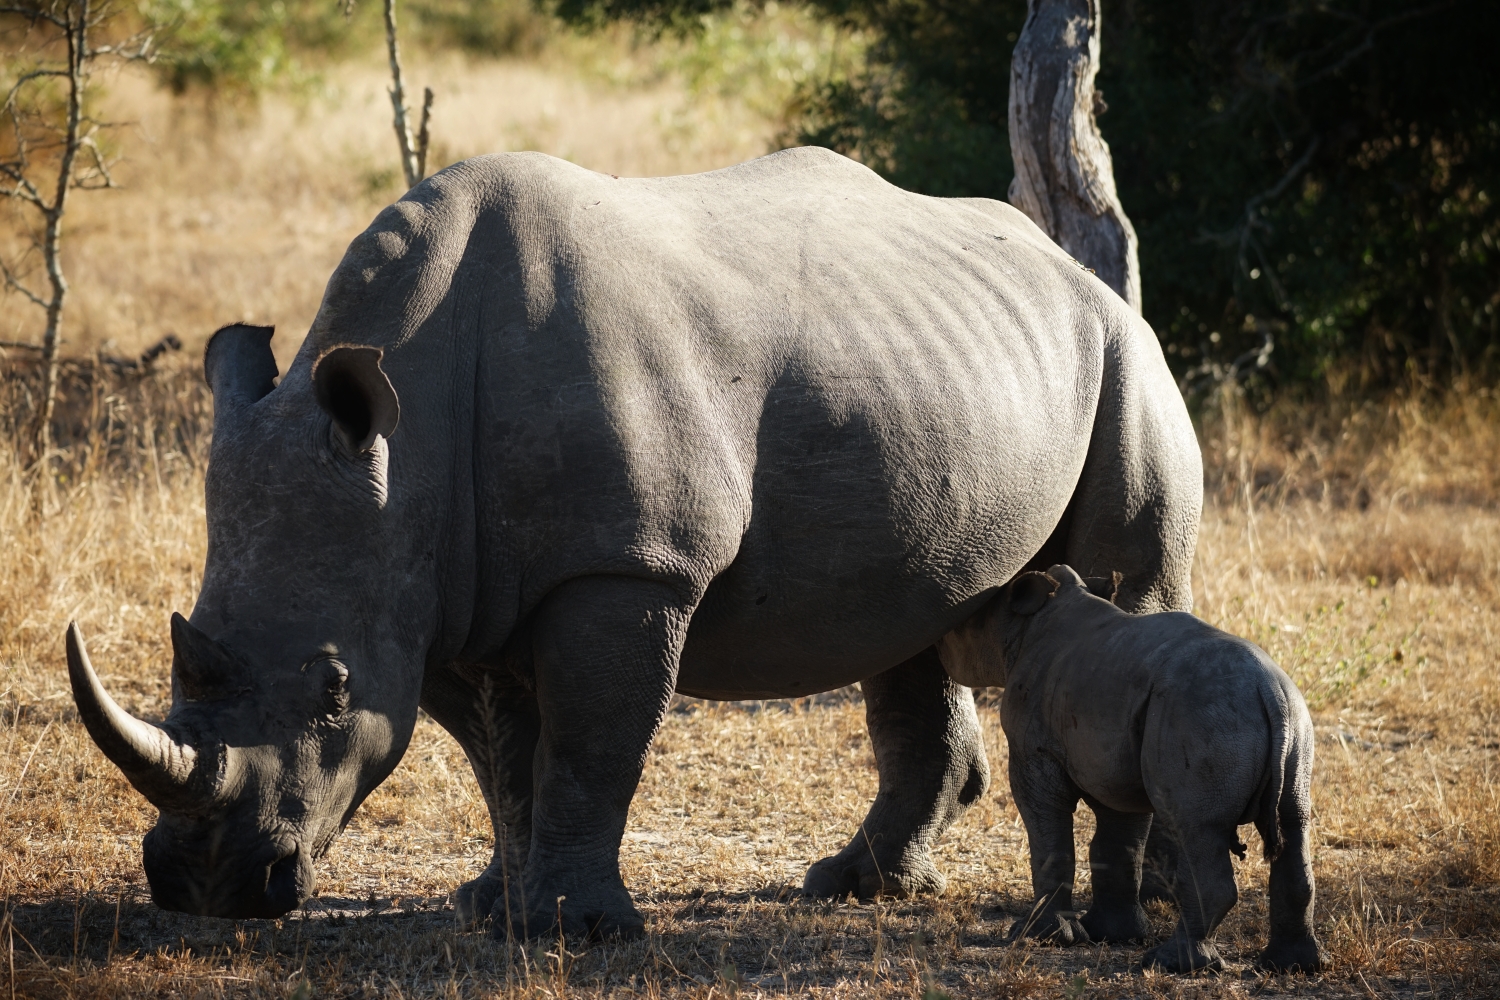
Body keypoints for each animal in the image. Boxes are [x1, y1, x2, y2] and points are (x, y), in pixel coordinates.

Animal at [64, 146, 1200, 941]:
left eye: (333, 690)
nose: (209, 885)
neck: (411, 432)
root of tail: (1067, 262)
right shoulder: (451, 587)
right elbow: (504, 758)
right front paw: (495, 906)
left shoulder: (625, 564)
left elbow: (590, 742)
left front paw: (581, 929)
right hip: (942, 376)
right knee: (911, 620)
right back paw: (852, 887)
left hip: (1126, 355)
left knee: (1124, 594)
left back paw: (1138, 899)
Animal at [942, 566, 1320, 971]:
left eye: (968, 624)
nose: (942, 639)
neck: (1029, 623)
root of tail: (1269, 692)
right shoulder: (1118, 753)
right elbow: (1119, 839)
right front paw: (1113, 934)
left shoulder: (1035, 752)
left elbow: (1048, 832)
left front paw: (1037, 935)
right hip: (1291, 722)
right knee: (1294, 823)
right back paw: (1291, 965)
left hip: (1200, 714)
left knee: (1197, 827)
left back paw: (1169, 963)